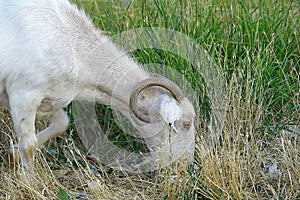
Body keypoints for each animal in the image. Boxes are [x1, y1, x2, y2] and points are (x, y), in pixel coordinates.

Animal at [0, 0, 196, 169]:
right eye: (186, 124)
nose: (186, 163)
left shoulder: (52, 98)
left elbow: (62, 123)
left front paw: (12, 155)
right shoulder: (23, 95)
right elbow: (29, 145)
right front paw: (30, 177)